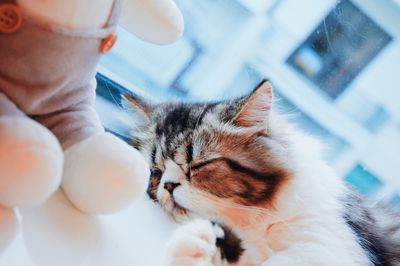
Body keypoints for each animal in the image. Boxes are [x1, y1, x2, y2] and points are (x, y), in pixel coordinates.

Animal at [122, 81, 400, 266]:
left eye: (198, 165)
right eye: (156, 172)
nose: (168, 186)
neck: (253, 222)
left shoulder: (327, 245)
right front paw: (197, 247)